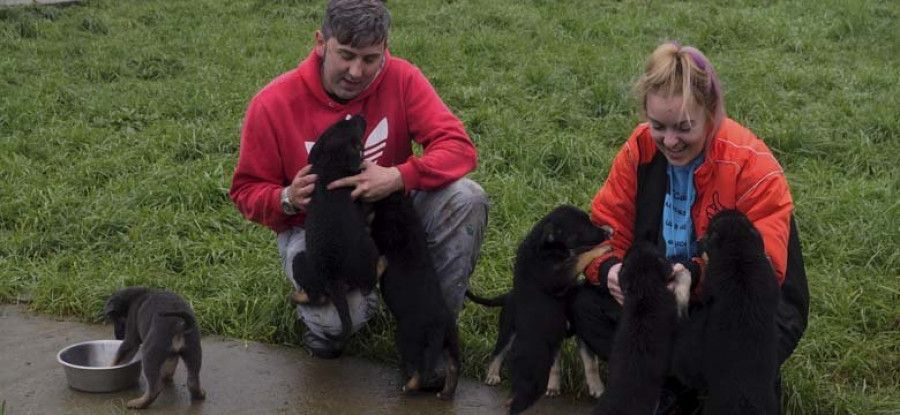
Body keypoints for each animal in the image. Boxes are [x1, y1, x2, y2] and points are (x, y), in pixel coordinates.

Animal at [294, 114, 378, 344]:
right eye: (355, 128)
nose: (359, 115)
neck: (328, 166)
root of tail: (333, 278)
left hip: (300, 261)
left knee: (316, 297)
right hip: (368, 250)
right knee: (369, 282)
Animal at [370, 191, 460, 400]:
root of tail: (439, 325)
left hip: (409, 338)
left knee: (420, 370)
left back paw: (409, 387)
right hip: (451, 341)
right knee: (454, 368)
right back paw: (445, 393)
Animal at [502, 206, 608, 415]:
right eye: (583, 227)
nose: (605, 233)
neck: (542, 245)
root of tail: (513, 356)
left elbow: (577, 253)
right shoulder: (558, 276)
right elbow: (579, 258)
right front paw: (604, 248)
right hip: (533, 383)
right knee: (514, 405)